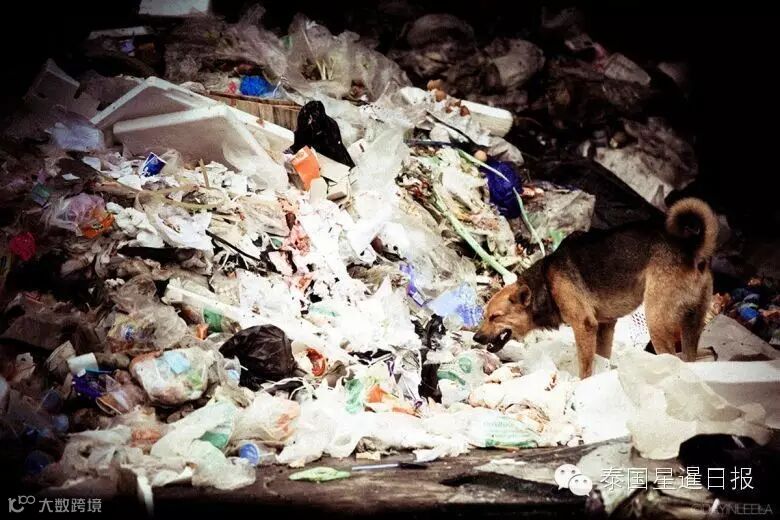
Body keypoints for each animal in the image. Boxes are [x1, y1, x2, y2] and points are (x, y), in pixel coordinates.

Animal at [473, 198, 718, 378]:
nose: (475, 338)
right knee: (693, 356)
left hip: (656, 322)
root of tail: (691, 249)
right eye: (484, 315)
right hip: (691, 324)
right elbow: (602, 357)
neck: (545, 281)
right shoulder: (606, 326)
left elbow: (585, 367)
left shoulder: (584, 326)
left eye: (495, 317)